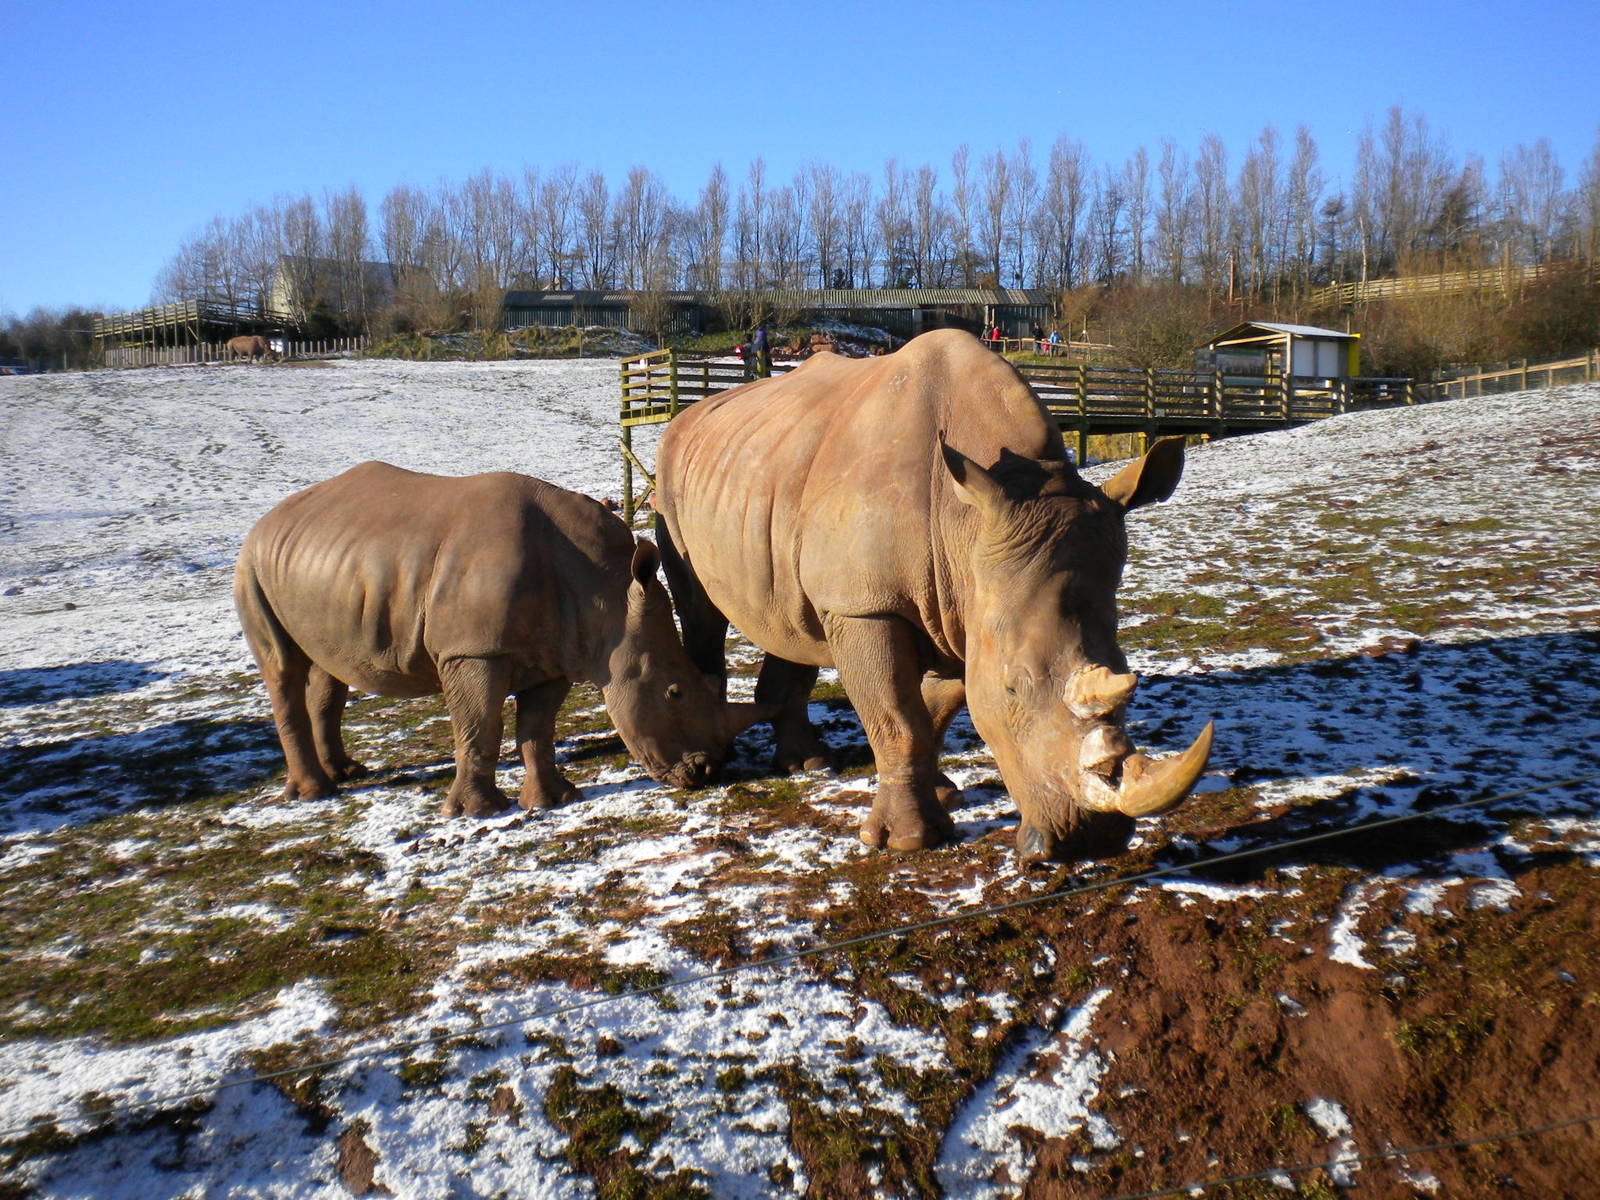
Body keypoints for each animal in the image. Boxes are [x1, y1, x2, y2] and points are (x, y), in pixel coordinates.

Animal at [235, 462, 767, 818]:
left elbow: (537, 728)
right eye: (674, 693)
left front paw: (555, 800)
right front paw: (479, 813)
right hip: (253, 562)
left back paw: (348, 773)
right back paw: (314, 794)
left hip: (322, 563)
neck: (609, 593)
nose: (706, 772)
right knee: (282, 668)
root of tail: (267, 520)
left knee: (328, 667)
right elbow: (481, 725)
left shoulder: (560, 651)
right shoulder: (474, 650)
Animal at [654, 329, 1213, 863]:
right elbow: (899, 720)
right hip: (671, 480)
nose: (1091, 842)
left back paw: (809, 763)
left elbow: (936, 711)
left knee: (790, 617)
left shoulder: (964, 605)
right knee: (701, 610)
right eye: (1013, 689)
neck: (968, 523)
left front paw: (943, 796)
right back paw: (716, 761)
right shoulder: (866, 606)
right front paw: (904, 841)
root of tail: (688, 416)